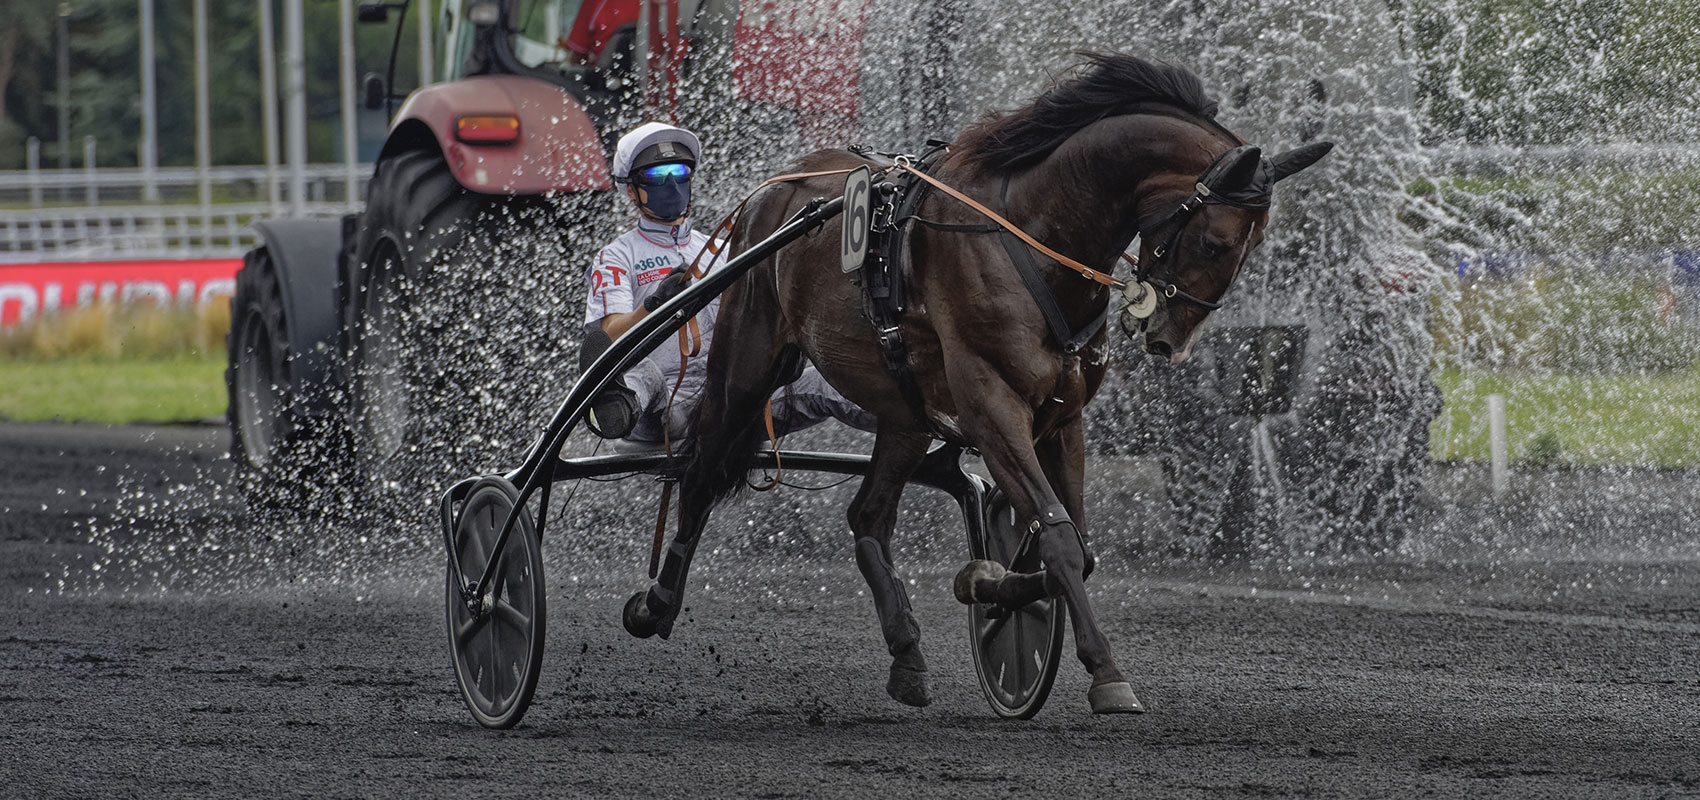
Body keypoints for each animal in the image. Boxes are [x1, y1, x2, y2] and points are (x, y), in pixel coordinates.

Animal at [622, 53, 1326, 716]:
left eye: (1251, 248)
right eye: (1215, 242)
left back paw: (907, 651)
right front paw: (1104, 671)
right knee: (702, 472)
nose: (1170, 340)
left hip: (902, 406)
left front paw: (993, 587)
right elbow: (1061, 541)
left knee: (868, 514)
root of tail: (776, 189)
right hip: (746, 358)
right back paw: (657, 602)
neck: (1034, 237)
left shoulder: (1062, 417)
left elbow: (1072, 546)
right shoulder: (992, 405)